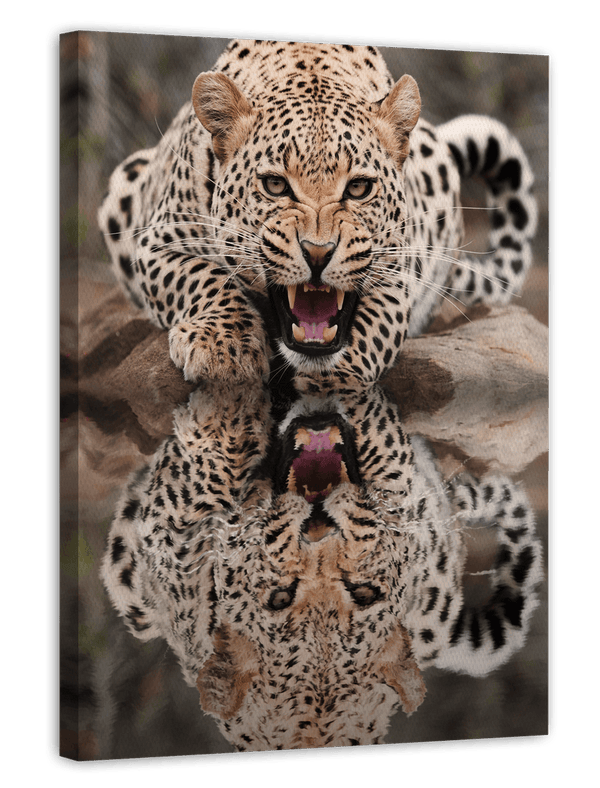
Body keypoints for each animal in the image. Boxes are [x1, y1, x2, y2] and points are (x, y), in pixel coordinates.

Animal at [98, 38, 537, 386]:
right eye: (275, 185)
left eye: (359, 188)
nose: (318, 253)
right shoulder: (158, 242)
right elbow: (204, 278)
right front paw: (225, 349)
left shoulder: (396, 271)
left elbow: (372, 327)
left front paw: (337, 382)